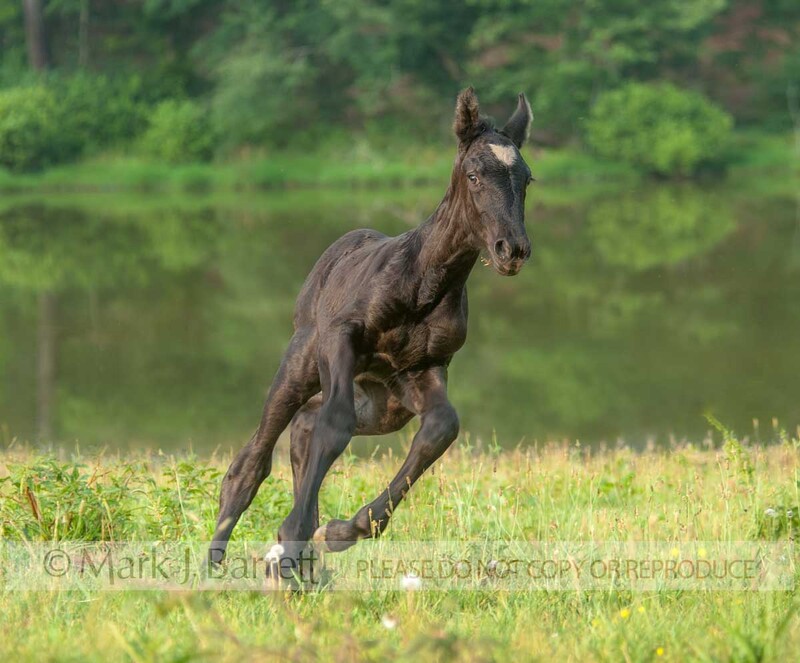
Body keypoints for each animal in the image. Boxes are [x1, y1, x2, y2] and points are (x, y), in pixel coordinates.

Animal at [209, 87, 534, 581]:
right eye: (474, 174)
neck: (424, 283)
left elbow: (442, 427)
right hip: (302, 361)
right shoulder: (341, 341)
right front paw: (296, 536)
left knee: (304, 426)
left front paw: (341, 530)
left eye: (527, 179)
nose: (512, 249)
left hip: (383, 405)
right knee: (254, 458)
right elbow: (334, 424)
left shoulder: (424, 369)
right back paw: (219, 559)